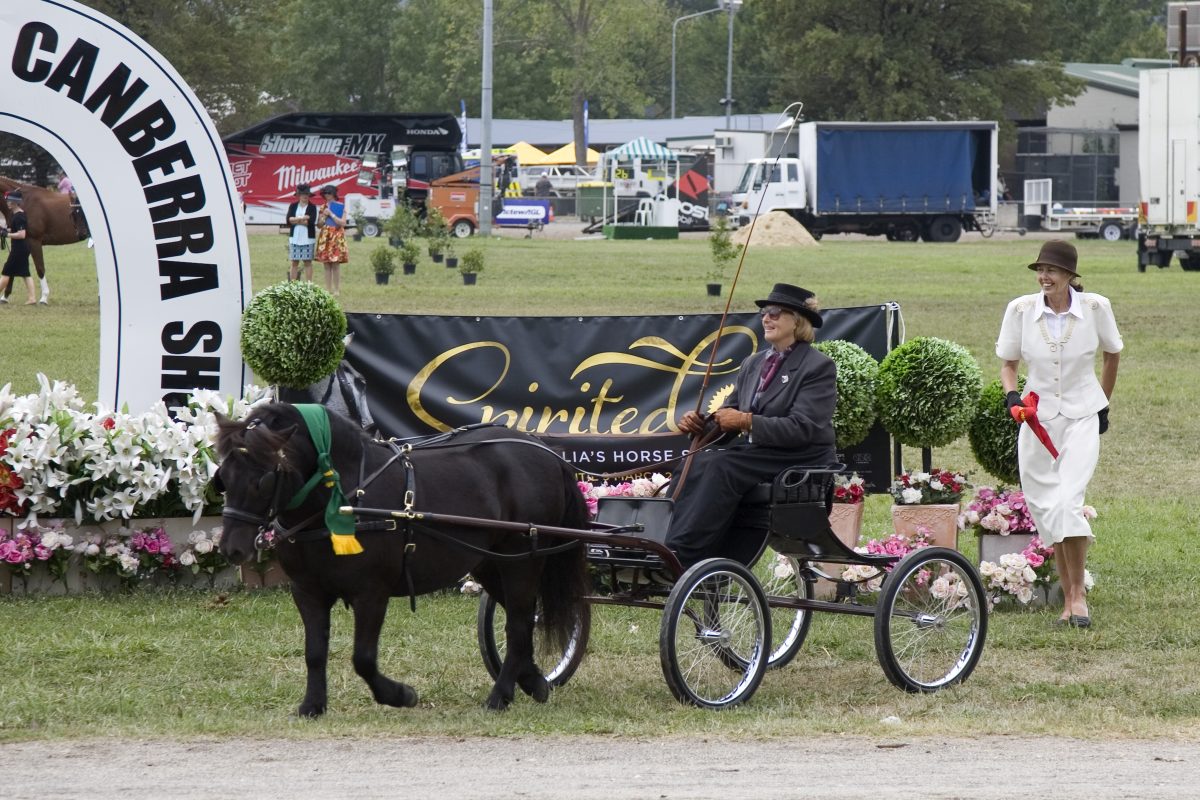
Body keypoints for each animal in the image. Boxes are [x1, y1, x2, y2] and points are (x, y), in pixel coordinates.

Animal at [218, 402, 592, 714]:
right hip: (489, 562)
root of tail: (547, 453)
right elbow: (314, 652)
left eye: (263, 478)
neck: (344, 497)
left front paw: (400, 695)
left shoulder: (371, 592)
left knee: (518, 623)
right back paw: (534, 682)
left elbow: (363, 658)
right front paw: (312, 705)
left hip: (521, 559)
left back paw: (499, 696)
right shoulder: (307, 590)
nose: (231, 548)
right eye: (222, 476)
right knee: (524, 619)